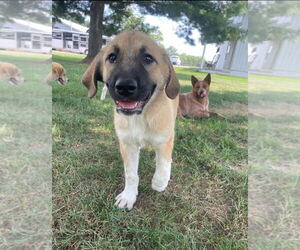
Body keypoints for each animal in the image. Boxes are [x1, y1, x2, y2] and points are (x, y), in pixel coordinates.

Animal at [81, 30, 179, 210]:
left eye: (148, 58)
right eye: (112, 57)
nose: (125, 87)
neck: (141, 116)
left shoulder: (165, 138)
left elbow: (163, 163)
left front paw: (159, 183)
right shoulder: (127, 144)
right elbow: (131, 174)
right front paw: (128, 196)